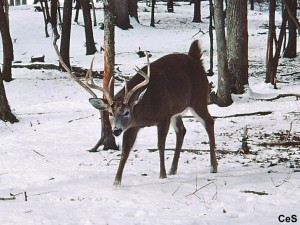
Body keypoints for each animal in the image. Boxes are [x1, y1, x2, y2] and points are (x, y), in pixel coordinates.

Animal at [54, 39, 217, 186]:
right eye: (110, 113)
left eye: (127, 112)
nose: (116, 130)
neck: (146, 111)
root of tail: (195, 58)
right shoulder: (133, 126)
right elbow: (125, 151)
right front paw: (116, 182)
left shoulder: (164, 116)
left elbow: (160, 145)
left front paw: (162, 175)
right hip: (177, 111)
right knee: (182, 130)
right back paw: (173, 169)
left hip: (198, 99)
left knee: (209, 122)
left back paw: (213, 166)